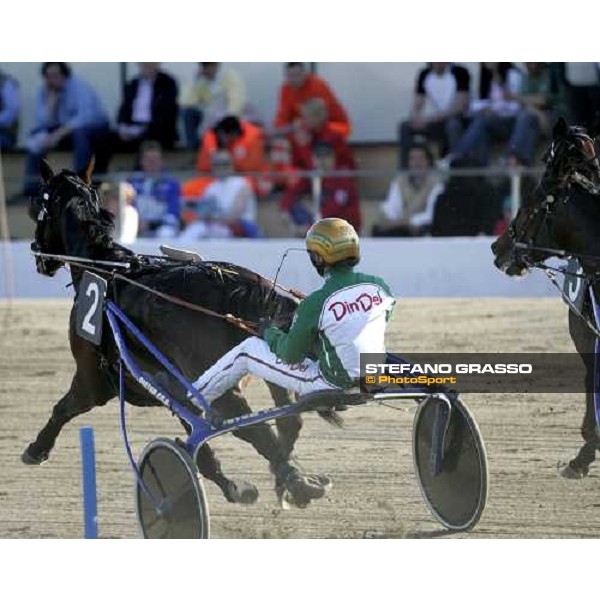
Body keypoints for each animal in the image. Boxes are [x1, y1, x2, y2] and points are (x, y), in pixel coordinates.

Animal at [22, 159, 328, 506]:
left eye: (37, 204)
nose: (38, 254)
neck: (105, 269)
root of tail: (239, 285)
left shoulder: (93, 381)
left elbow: (63, 408)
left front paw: (37, 449)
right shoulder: (178, 391)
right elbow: (202, 445)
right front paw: (234, 486)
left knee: (255, 429)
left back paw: (296, 482)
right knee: (287, 420)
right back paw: (298, 476)